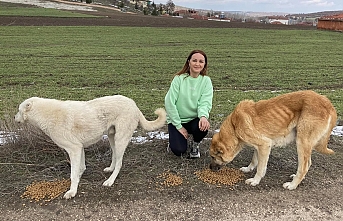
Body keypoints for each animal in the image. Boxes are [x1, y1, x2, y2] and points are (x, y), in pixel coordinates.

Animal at [14, 96, 167, 199]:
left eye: (19, 110)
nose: (14, 118)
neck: (46, 114)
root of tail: (133, 104)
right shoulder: (79, 148)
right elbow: (80, 168)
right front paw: (78, 179)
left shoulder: (74, 149)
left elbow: (73, 173)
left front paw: (72, 191)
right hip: (112, 137)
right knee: (115, 156)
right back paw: (110, 169)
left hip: (120, 139)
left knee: (120, 163)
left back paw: (110, 181)